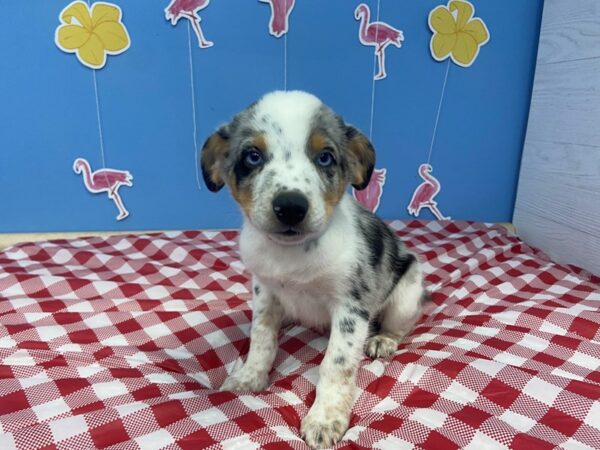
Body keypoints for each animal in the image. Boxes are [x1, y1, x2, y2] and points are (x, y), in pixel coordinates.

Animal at [204, 91, 424, 450]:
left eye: (325, 158)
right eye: (252, 156)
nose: (291, 207)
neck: (292, 255)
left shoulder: (351, 307)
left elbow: (335, 364)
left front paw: (325, 417)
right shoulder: (264, 291)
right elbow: (261, 339)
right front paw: (250, 377)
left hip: (407, 292)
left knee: (399, 326)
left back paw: (383, 340)